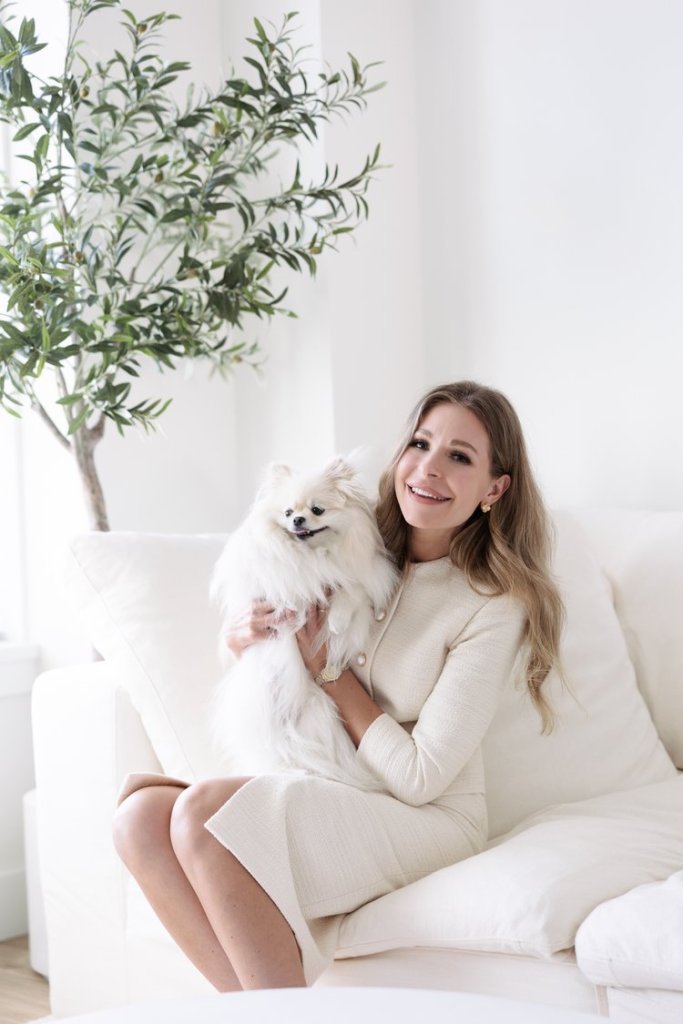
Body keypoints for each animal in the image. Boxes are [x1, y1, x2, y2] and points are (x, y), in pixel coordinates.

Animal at [211, 455, 398, 790]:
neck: (316, 554)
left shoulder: (362, 581)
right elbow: (288, 580)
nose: (298, 520)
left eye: (317, 510)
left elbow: (349, 592)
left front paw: (336, 621)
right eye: (287, 512)